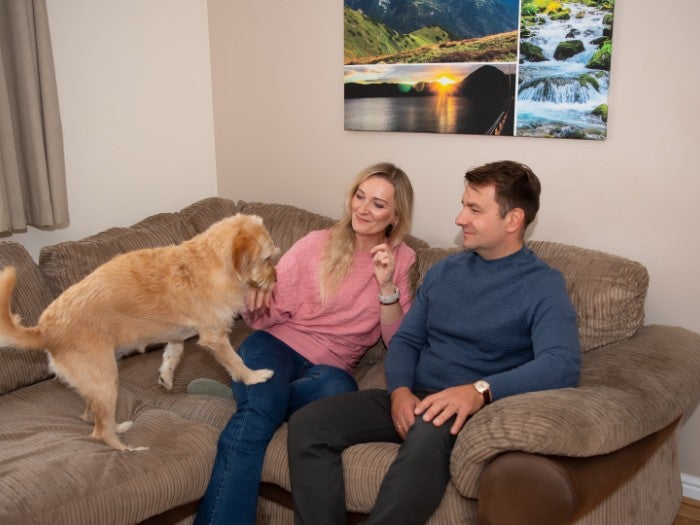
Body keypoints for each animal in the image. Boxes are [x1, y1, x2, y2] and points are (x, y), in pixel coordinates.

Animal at [0, 213, 278, 450]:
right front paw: (253, 376)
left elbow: (172, 354)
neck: (210, 261)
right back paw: (129, 449)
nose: (275, 280)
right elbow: (235, 361)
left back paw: (118, 427)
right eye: (268, 259)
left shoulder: (176, 335)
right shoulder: (215, 337)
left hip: (95, 385)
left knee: (91, 416)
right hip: (105, 381)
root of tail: (44, 329)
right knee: (100, 432)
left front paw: (166, 376)